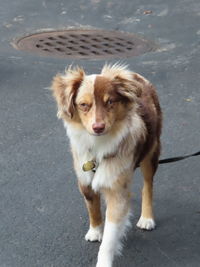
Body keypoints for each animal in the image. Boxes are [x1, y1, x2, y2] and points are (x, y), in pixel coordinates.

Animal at [50, 63, 162, 266]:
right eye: (83, 105)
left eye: (110, 102)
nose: (98, 127)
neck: (98, 146)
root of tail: (135, 75)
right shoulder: (84, 180)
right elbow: (93, 208)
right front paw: (95, 231)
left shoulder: (116, 190)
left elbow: (110, 238)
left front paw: (103, 260)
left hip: (152, 152)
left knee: (148, 185)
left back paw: (147, 218)